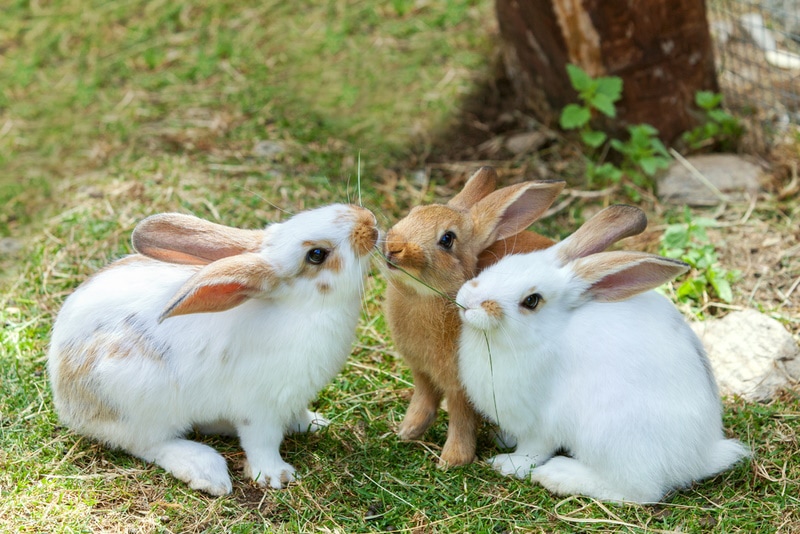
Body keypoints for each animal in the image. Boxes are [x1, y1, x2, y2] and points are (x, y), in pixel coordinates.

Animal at [47, 204, 379, 496]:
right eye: (317, 255)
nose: (369, 221)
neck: (303, 308)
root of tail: (64, 395)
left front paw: (312, 424)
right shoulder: (259, 408)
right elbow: (262, 442)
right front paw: (276, 476)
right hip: (139, 401)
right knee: (148, 443)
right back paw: (206, 469)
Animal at [383, 166, 565, 466]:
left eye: (447, 239)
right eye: (414, 211)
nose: (394, 247)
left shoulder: (463, 388)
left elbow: (462, 420)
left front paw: (452, 460)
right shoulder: (421, 372)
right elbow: (424, 400)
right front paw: (408, 431)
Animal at [455, 205, 750, 503]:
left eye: (532, 301)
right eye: (505, 263)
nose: (467, 301)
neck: (548, 334)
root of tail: (702, 456)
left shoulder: (540, 422)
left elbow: (533, 451)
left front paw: (506, 464)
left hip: (609, 434)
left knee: (638, 490)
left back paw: (559, 475)